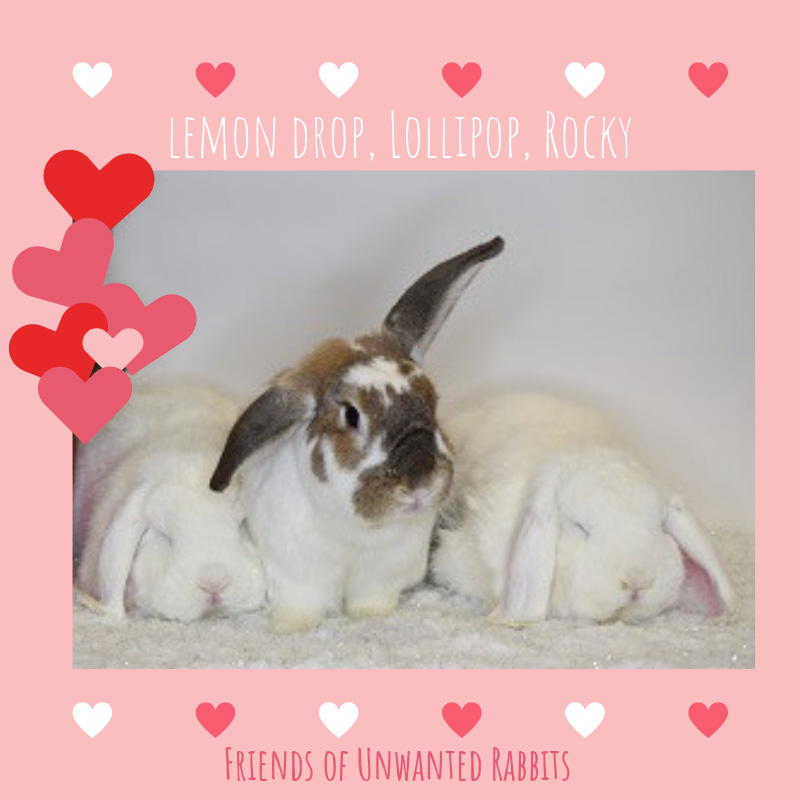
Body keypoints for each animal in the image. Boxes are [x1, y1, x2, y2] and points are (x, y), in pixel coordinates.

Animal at [209, 236, 505, 632]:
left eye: (433, 401)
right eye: (351, 415)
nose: (419, 478)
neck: (359, 534)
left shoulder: (381, 577)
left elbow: (371, 603)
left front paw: (369, 619)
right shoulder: (296, 575)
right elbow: (299, 606)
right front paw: (291, 629)